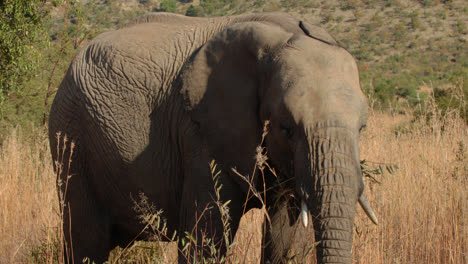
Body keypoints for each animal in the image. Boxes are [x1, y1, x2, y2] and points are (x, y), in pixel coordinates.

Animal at [48, 11, 376, 264]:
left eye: (362, 127)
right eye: (286, 128)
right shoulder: (199, 133)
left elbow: (288, 236)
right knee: (86, 244)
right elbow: (206, 237)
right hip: (72, 138)